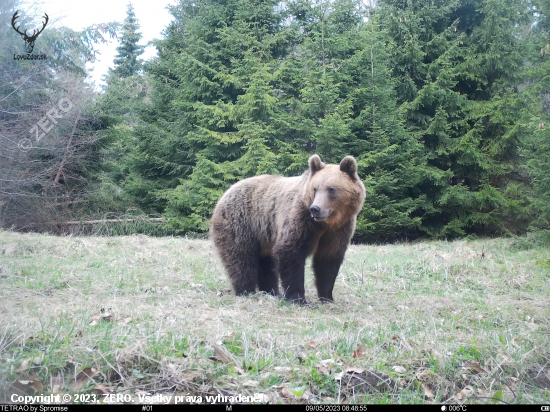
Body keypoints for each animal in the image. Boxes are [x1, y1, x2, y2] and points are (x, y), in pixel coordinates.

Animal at [211, 154, 366, 302]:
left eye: (331, 189)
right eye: (315, 189)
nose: (315, 209)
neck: (326, 223)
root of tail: (224, 195)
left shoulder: (338, 230)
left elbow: (328, 261)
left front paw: (327, 297)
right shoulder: (301, 220)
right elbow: (291, 252)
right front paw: (297, 297)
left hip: (264, 235)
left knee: (266, 263)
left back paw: (271, 291)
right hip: (242, 224)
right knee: (241, 259)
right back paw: (246, 291)